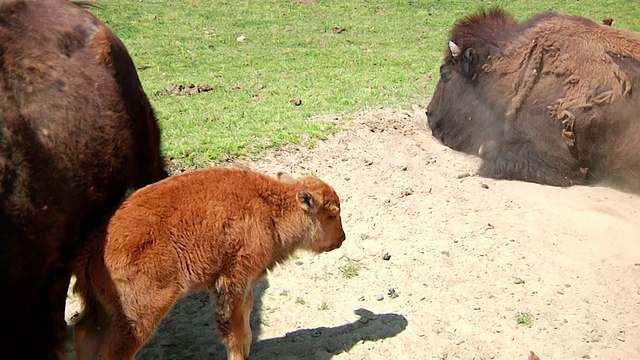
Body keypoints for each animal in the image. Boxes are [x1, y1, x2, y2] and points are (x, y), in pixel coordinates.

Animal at [70, 168, 348, 360]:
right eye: (332, 214)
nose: (341, 239)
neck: (269, 209)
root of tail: (94, 245)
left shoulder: (242, 282)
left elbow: (247, 310)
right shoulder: (232, 280)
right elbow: (233, 326)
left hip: (100, 307)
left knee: (84, 334)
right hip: (140, 313)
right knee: (115, 350)